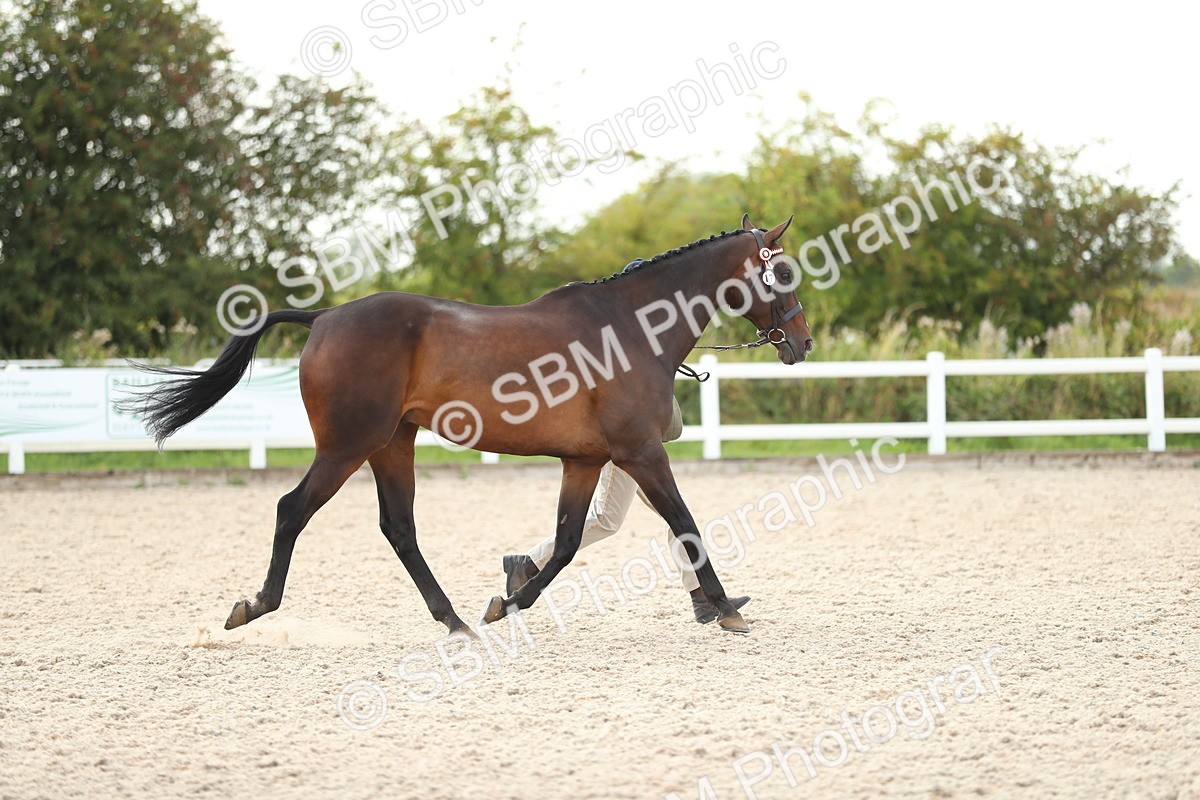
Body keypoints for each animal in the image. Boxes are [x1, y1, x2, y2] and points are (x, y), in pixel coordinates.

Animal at [122, 214, 813, 636]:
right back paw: (255, 606)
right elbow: (685, 524)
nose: (802, 343)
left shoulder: (587, 460)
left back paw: (452, 619)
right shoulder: (641, 452)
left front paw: (509, 599)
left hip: (391, 444)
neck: (631, 327)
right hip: (347, 446)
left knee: (398, 527)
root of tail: (325, 316)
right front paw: (726, 609)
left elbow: (567, 540)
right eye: (781, 272)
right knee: (293, 510)